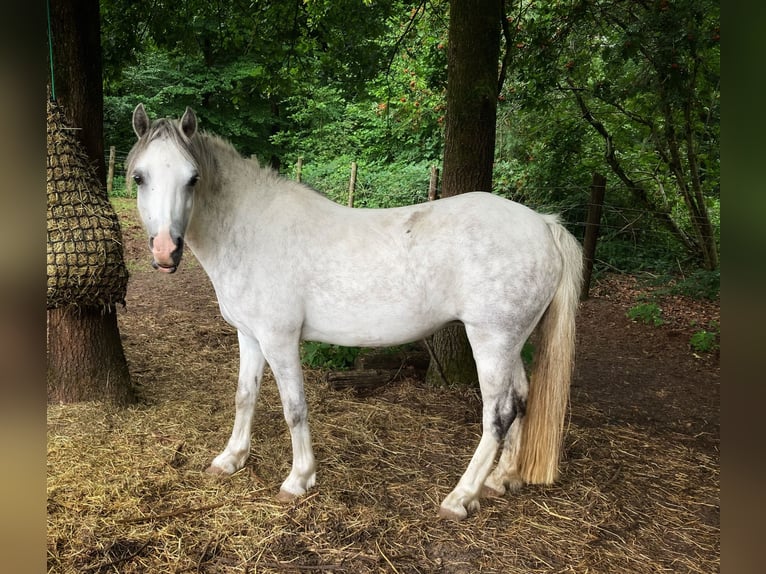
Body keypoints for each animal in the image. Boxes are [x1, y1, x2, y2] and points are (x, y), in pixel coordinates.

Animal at [127, 104, 584, 520]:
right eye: (139, 177)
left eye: (192, 178)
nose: (165, 252)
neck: (250, 230)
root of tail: (543, 225)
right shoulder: (250, 336)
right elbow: (245, 396)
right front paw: (231, 459)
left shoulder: (279, 339)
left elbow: (294, 407)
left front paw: (299, 479)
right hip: (511, 344)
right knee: (521, 400)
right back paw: (502, 479)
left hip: (490, 341)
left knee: (498, 415)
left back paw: (461, 497)